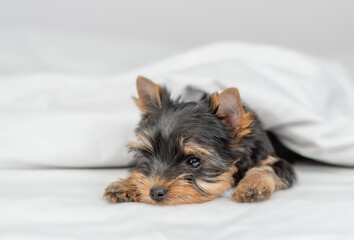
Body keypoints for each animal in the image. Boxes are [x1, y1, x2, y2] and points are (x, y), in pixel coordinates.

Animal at [104, 76, 296, 204]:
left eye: (194, 161)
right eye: (148, 157)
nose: (155, 192)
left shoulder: (272, 158)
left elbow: (266, 168)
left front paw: (252, 185)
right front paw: (126, 184)